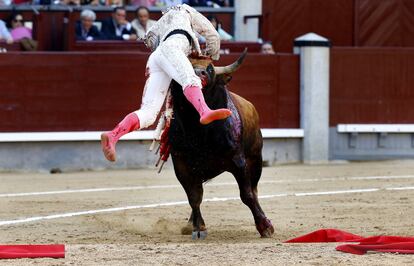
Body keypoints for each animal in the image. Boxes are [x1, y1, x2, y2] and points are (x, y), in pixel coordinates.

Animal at [165, 50, 274, 239]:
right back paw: (190, 224)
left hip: (255, 159)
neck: (198, 127)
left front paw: (265, 227)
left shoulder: (239, 161)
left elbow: (246, 195)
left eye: (210, 69)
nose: (198, 74)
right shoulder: (181, 164)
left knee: (254, 190)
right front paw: (198, 228)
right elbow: (194, 197)